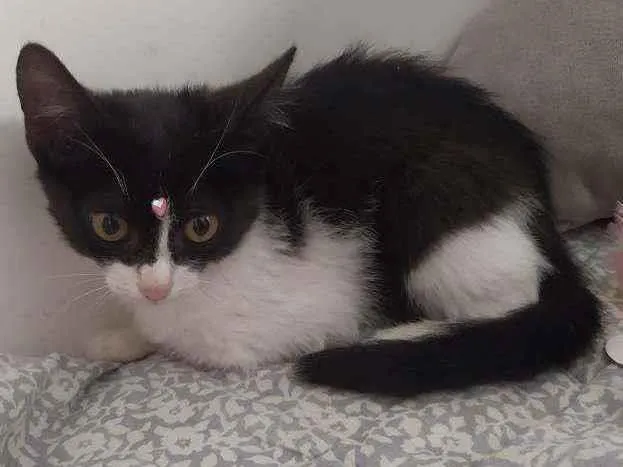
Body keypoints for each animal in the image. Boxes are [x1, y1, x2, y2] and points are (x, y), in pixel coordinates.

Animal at [15, 42, 601, 396]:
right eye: (108, 225)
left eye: (202, 226)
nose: (155, 287)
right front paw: (120, 337)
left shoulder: (306, 303)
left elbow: (207, 344)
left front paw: (142, 331)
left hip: (438, 197)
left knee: (511, 295)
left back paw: (405, 334)